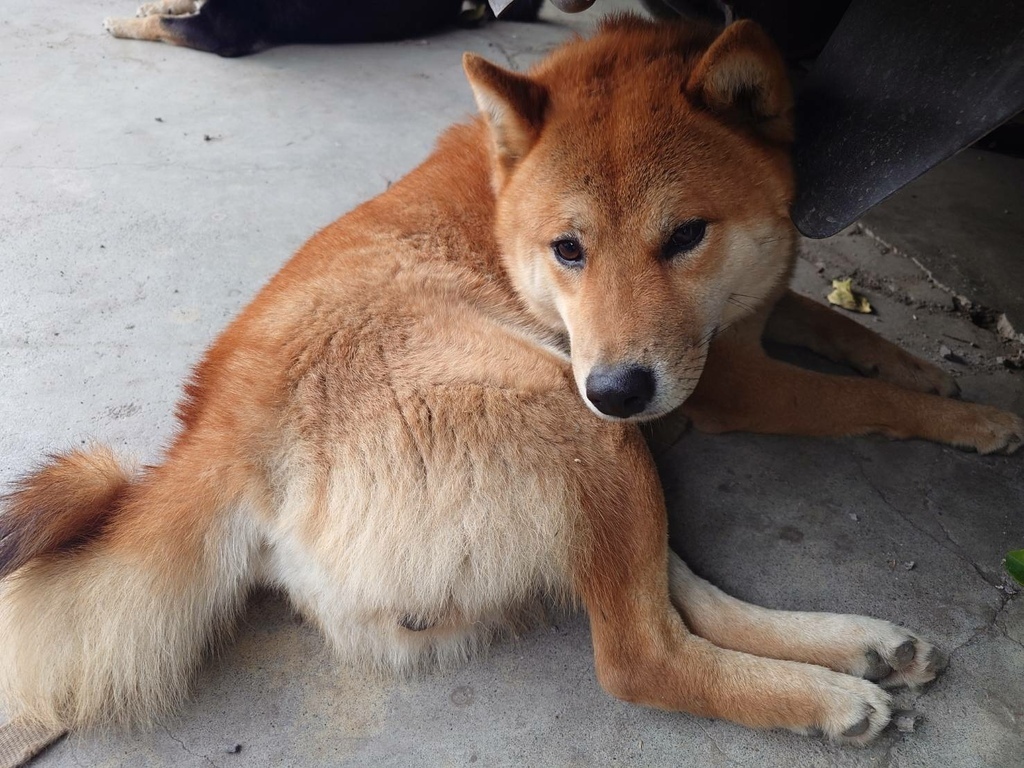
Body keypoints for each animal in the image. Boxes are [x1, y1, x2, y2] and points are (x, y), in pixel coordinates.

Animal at [2, 13, 1024, 753]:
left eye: (685, 235)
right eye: (568, 249)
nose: (618, 386)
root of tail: (220, 436)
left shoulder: (746, 327)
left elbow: (840, 326)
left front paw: (926, 365)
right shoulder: (733, 383)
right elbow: (865, 402)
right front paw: (981, 418)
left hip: (596, 451)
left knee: (671, 595)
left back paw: (854, 646)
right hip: (570, 419)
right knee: (642, 655)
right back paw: (824, 695)